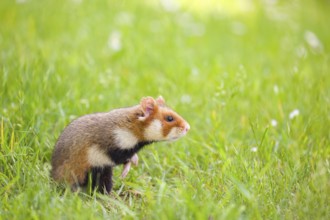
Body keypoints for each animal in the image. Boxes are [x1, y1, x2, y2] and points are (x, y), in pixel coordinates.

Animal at [50, 96, 189, 194]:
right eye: (169, 118)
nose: (188, 127)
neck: (127, 127)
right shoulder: (111, 150)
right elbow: (125, 158)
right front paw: (128, 168)